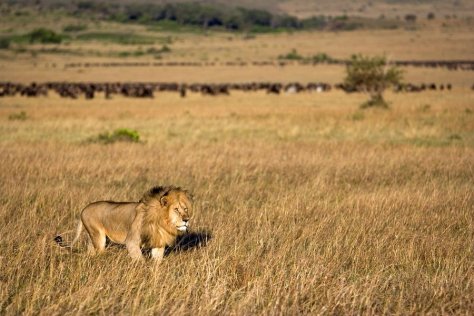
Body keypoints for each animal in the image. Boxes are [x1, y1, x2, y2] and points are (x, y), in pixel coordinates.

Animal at [56, 185, 193, 262]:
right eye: (176, 209)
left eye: (185, 209)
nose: (186, 220)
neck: (161, 223)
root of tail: (83, 209)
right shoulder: (132, 241)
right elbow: (139, 260)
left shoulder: (158, 243)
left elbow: (157, 260)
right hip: (98, 238)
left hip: (94, 238)